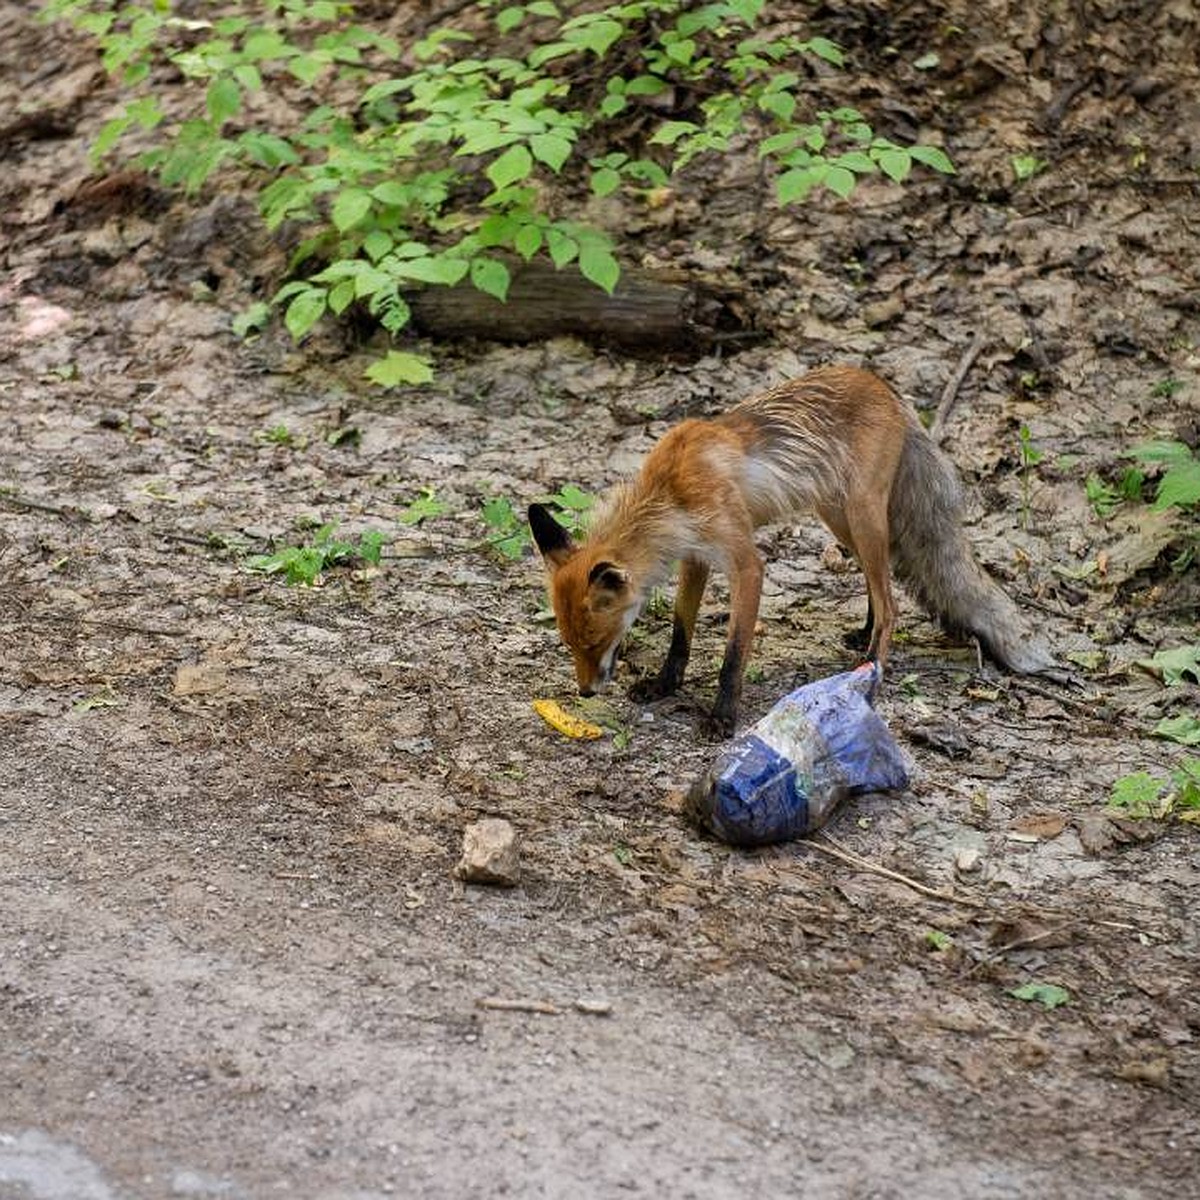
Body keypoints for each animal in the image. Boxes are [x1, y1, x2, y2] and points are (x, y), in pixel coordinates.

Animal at [530, 364, 1056, 729]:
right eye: (570, 644)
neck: (671, 492)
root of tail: (887, 387)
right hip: (839, 519)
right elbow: (681, 634)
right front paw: (664, 685)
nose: (585, 693)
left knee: (891, 604)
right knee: (880, 580)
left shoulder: (745, 563)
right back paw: (861, 635)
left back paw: (869, 669)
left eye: (594, 642)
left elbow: (734, 653)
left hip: (862, 513)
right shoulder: (696, 558)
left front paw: (722, 716)